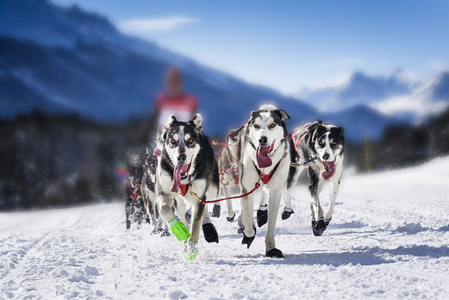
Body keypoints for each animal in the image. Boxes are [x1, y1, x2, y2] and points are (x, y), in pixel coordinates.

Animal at [155, 113, 220, 258]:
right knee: (182, 214)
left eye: (190, 141)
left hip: (212, 191)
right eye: (173, 141)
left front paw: (192, 250)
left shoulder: (199, 197)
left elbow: (195, 227)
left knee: (205, 207)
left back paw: (208, 229)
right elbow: (164, 209)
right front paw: (178, 229)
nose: (181, 157)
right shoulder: (164, 193)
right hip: (179, 201)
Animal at [233, 104, 292, 256]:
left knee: (264, 193)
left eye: (272, 125)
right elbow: (248, 220)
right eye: (256, 125)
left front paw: (271, 248)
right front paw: (249, 233)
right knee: (243, 207)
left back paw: (262, 211)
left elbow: (271, 225)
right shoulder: (247, 187)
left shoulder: (276, 192)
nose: (262, 139)